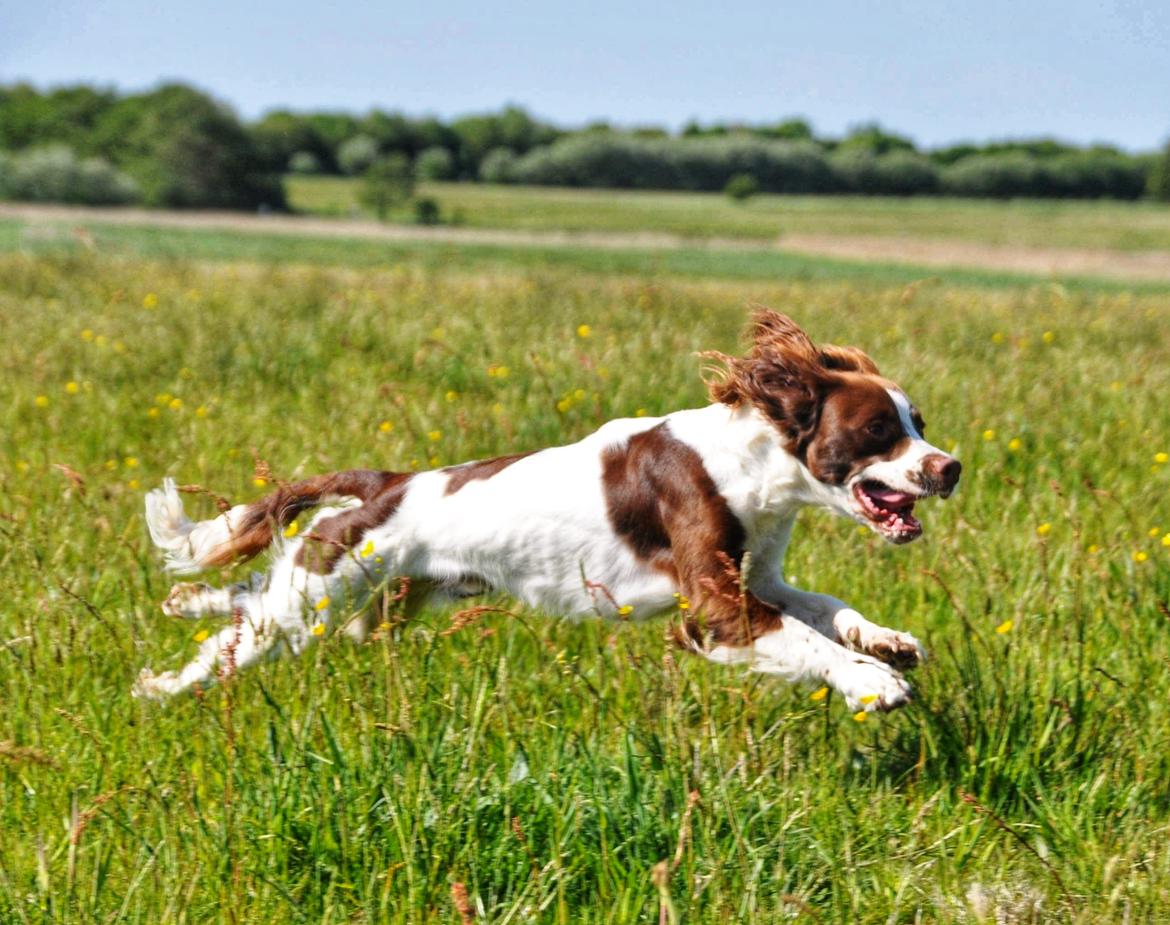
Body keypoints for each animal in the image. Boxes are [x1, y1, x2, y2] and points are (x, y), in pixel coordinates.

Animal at [134, 311, 959, 710]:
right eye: (878, 430)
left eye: (918, 420)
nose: (949, 467)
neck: (751, 464)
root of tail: (390, 481)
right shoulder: (713, 607)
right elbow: (803, 637)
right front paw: (874, 684)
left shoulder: (759, 576)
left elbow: (824, 606)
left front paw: (888, 642)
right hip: (321, 597)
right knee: (234, 640)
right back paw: (159, 687)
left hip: (375, 603)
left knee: (248, 595)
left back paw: (184, 602)